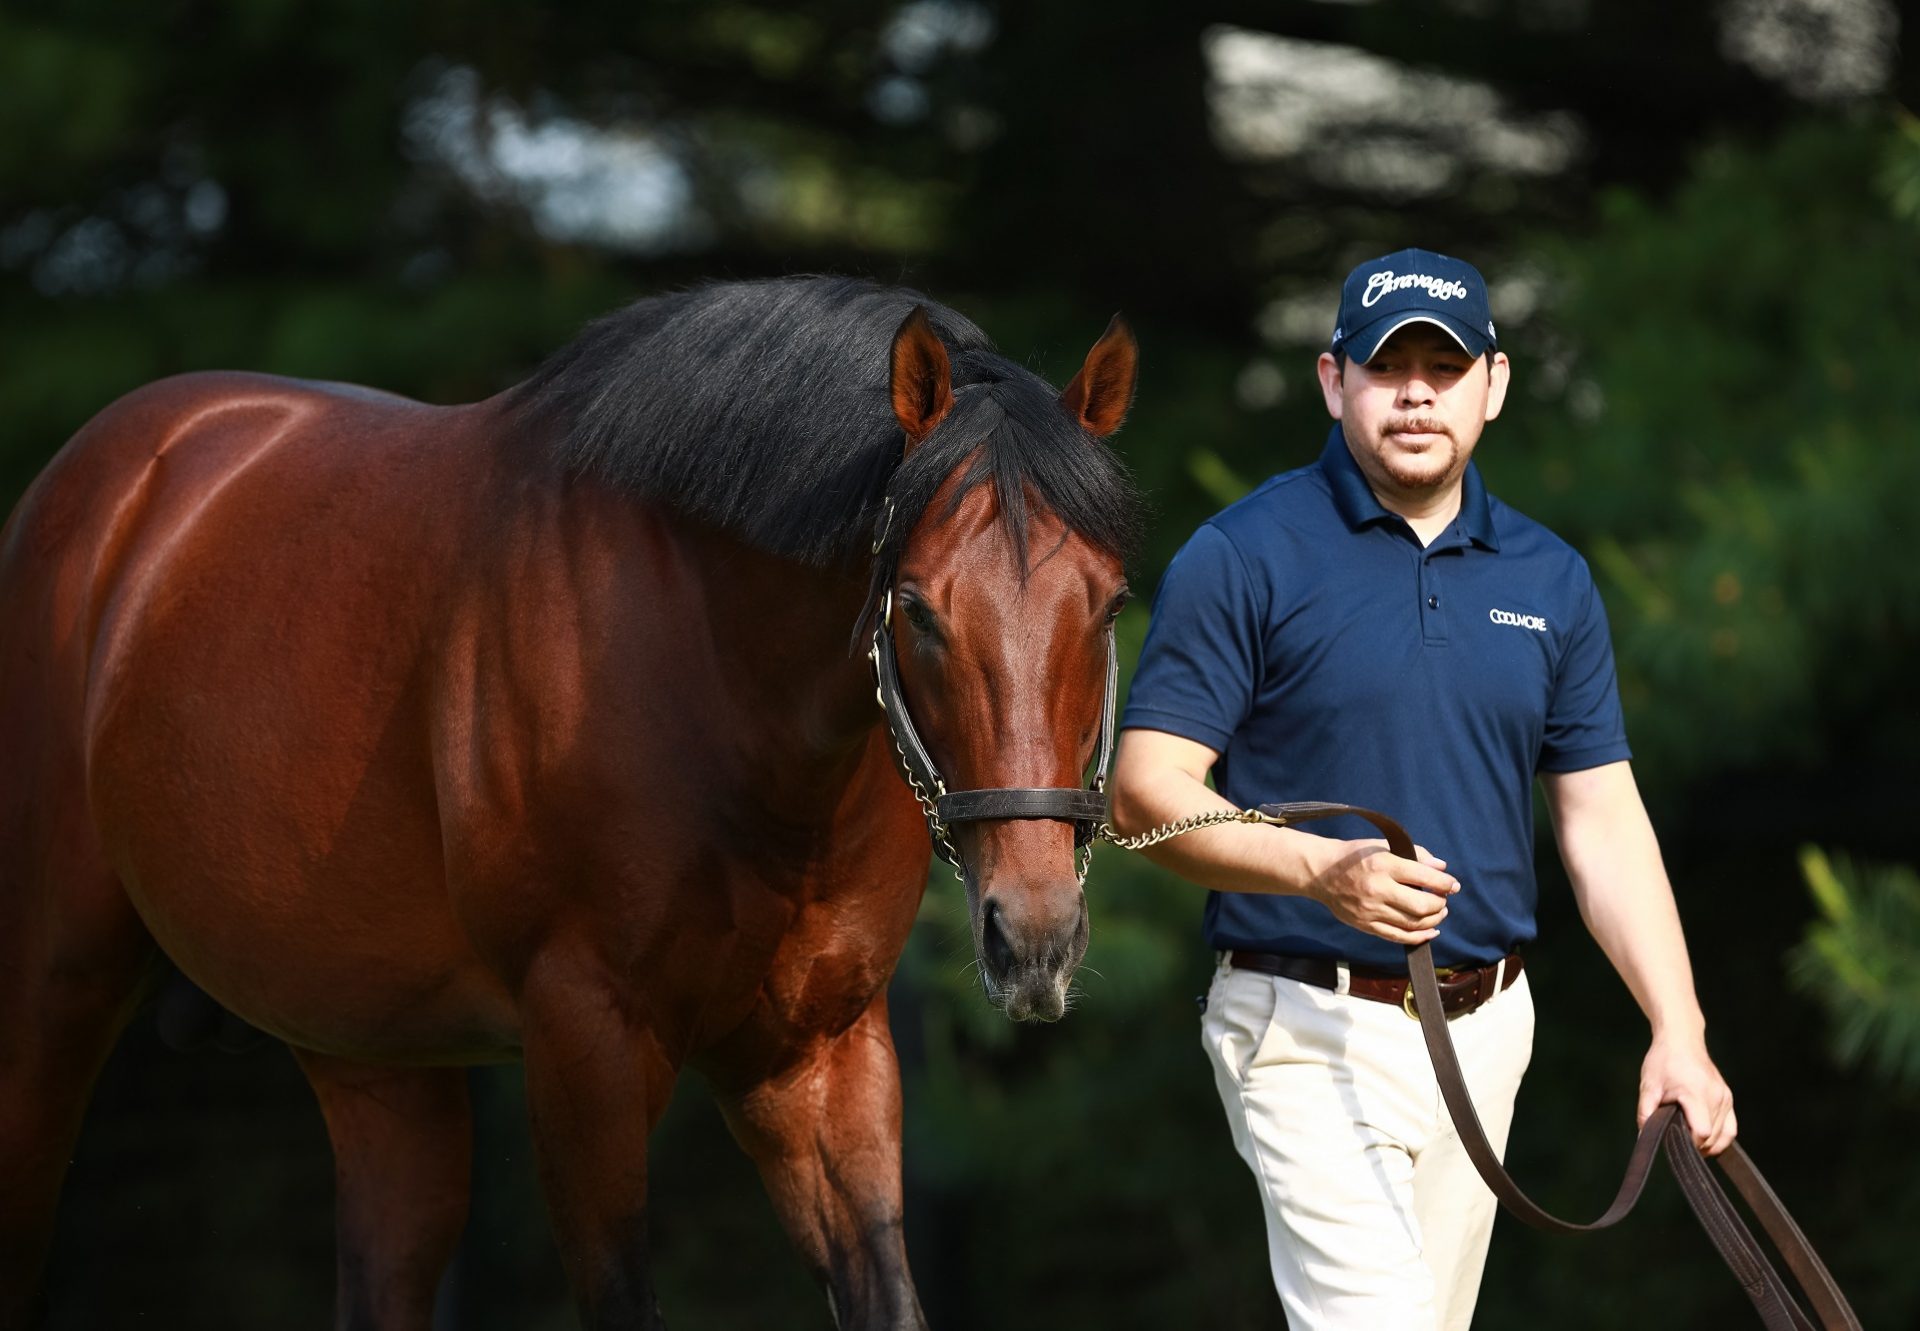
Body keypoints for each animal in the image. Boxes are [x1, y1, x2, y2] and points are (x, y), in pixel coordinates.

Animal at [0, 274, 1136, 1321]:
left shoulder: (822, 1056)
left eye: (1111, 601)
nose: (1034, 935)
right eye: (917, 606)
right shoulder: (584, 1046)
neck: (712, 678)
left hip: (373, 1060)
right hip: (50, 1000)